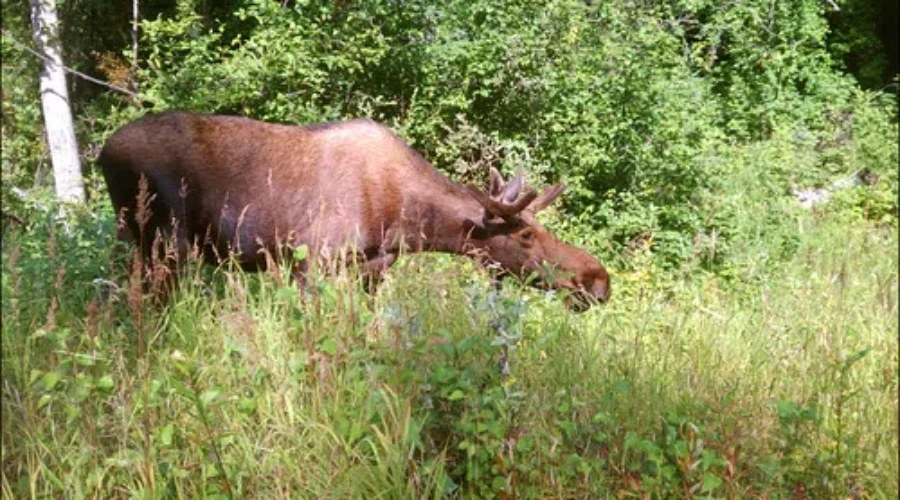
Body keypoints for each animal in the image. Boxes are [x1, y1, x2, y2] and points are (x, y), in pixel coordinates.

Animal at [98, 111, 610, 309]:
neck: (404, 219)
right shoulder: (310, 261)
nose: (598, 280)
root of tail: (102, 153)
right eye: (525, 235)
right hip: (163, 243)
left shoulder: (373, 267)